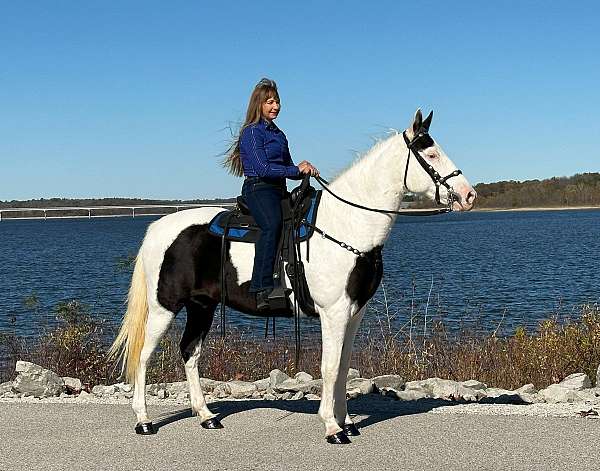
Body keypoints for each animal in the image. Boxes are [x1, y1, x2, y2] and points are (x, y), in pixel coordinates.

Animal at [110, 109, 478, 444]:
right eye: (431, 153)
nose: (468, 195)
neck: (345, 224)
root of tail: (157, 228)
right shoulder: (333, 312)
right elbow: (329, 368)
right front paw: (332, 428)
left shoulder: (353, 313)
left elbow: (344, 367)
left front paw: (347, 423)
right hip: (165, 308)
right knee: (144, 355)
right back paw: (144, 421)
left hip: (202, 306)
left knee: (190, 352)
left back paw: (206, 416)